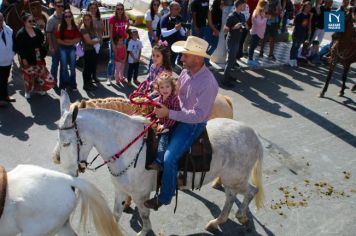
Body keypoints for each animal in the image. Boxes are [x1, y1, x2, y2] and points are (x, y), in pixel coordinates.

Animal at [53, 90, 264, 234]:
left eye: (67, 142)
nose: (57, 160)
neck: (129, 147)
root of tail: (253, 134)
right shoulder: (120, 191)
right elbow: (116, 214)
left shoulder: (141, 195)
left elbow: (144, 215)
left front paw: (144, 231)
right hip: (231, 179)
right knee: (231, 197)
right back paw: (218, 222)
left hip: (235, 178)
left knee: (251, 191)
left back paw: (240, 216)